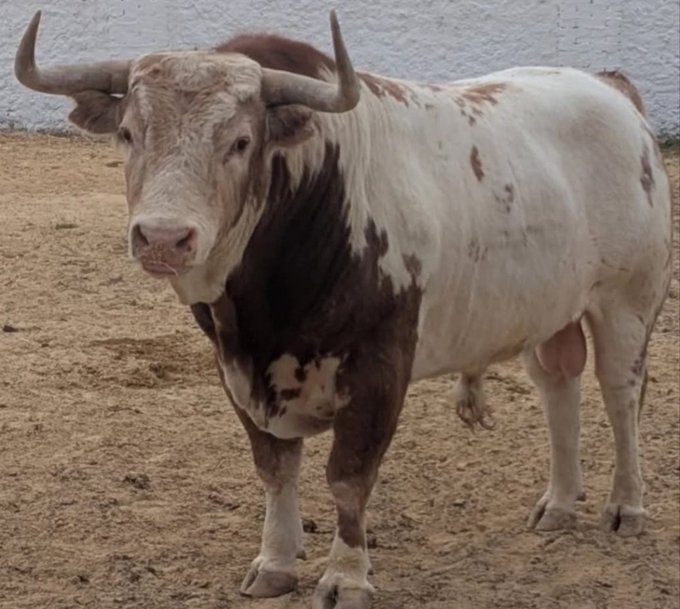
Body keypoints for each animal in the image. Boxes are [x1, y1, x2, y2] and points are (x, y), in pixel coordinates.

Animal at [15, 9, 672, 609]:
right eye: (129, 133)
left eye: (241, 142)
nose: (163, 238)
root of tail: (611, 92)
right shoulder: (237, 370)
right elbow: (275, 468)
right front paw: (276, 563)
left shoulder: (380, 368)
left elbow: (349, 478)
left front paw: (345, 577)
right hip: (548, 311)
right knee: (559, 388)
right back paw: (558, 504)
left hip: (627, 304)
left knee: (620, 395)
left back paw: (625, 505)